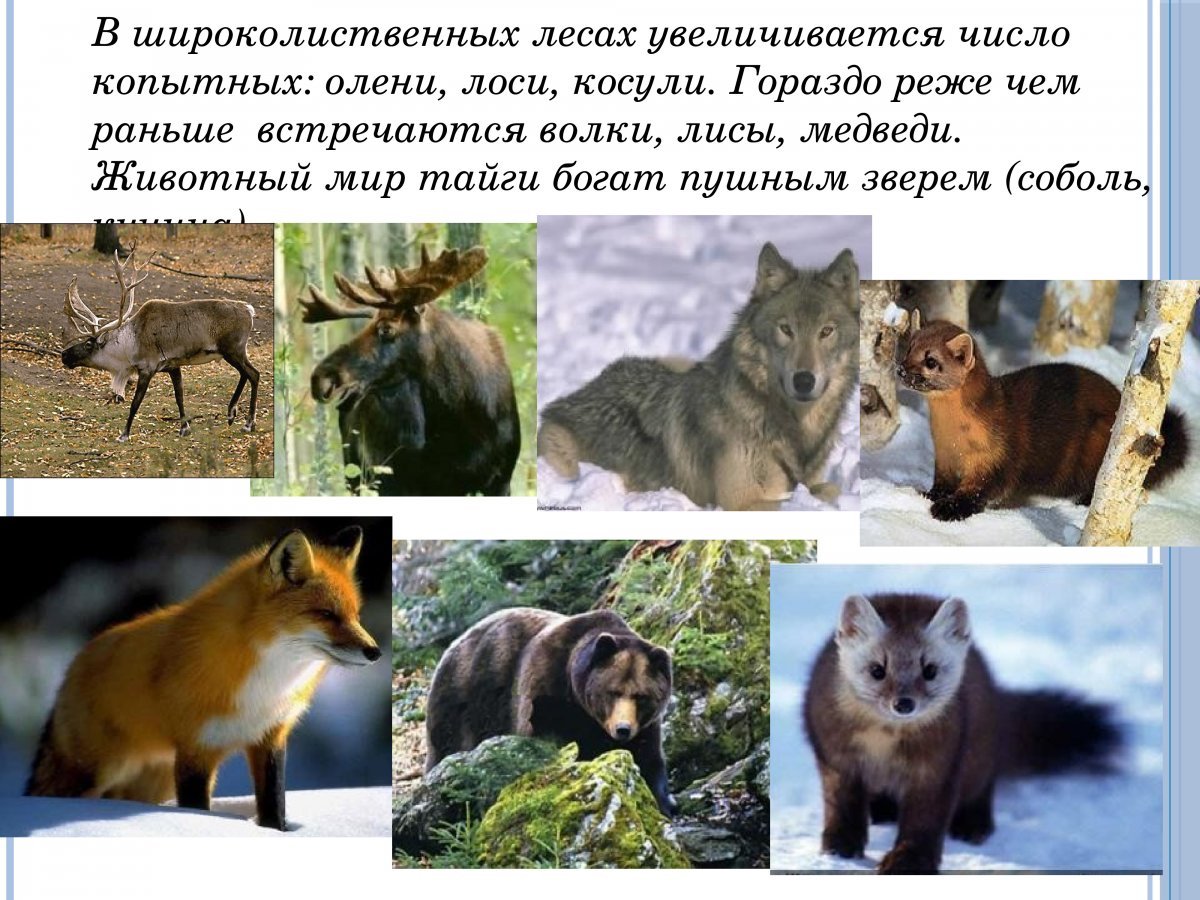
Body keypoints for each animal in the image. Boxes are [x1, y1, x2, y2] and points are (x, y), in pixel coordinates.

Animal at [61, 245, 260, 443]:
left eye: (88, 344)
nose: (64, 355)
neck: (129, 344)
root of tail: (249, 310)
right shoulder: (173, 366)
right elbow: (179, 396)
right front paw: (184, 428)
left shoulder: (146, 368)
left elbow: (135, 403)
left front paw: (124, 434)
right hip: (234, 352)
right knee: (245, 374)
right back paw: (232, 413)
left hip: (233, 350)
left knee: (253, 374)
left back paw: (248, 423)